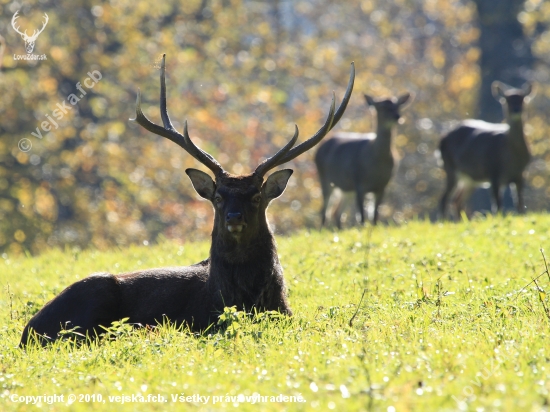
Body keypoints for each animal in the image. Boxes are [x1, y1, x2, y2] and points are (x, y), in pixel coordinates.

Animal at [19, 54, 356, 344]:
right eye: (218, 196)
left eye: (257, 195)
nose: (234, 217)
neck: (235, 298)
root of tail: (27, 333)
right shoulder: (202, 322)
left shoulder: (286, 314)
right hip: (93, 297)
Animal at [316, 92, 412, 227]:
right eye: (382, 106)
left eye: (398, 106)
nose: (397, 116)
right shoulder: (359, 183)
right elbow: (361, 217)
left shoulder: (382, 185)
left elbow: (375, 217)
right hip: (324, 178)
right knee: (325, 212)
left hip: (346, 188)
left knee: (337, 212)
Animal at [440, 80, 536, 219]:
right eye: (507, 100)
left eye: (522, 99)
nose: (516, 110)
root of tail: (443, 139)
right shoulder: (493, 172)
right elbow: (498, 205)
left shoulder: (520, 174)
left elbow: (520, 205)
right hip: (450, 167)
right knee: (445, 198)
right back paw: (445, 220)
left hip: (471, 179)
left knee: (457, 200)